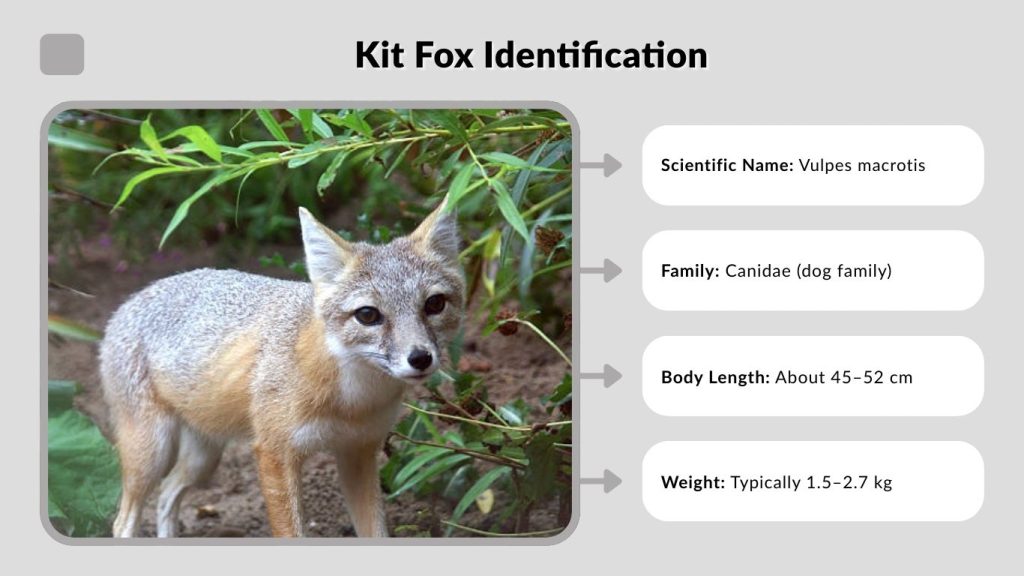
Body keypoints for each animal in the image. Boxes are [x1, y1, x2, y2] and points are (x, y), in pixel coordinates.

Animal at [98, 196, 464, 538]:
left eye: (434, 304)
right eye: (368, 315)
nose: (420, 358)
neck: (352, 402)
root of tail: (129, 302)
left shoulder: (357, 451)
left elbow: (375, 532)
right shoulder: (275, 454)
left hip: (203, 459)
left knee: (167, 494)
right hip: (151, 454)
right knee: (123, 520)